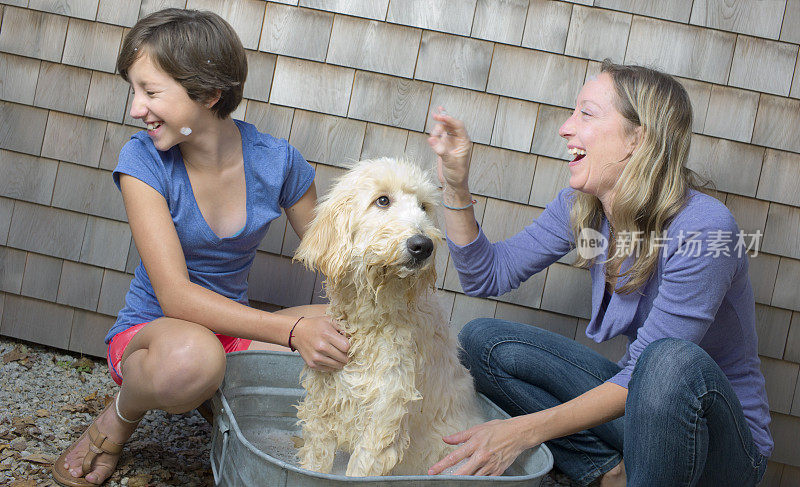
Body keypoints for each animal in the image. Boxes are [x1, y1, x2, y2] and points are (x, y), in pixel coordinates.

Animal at [294, 159, 482, 476]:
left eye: (423, 207)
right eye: (382, 200)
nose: (423, 245)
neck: (371, 320)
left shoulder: (383, 417)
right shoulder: (323, 403)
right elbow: (315, 462)